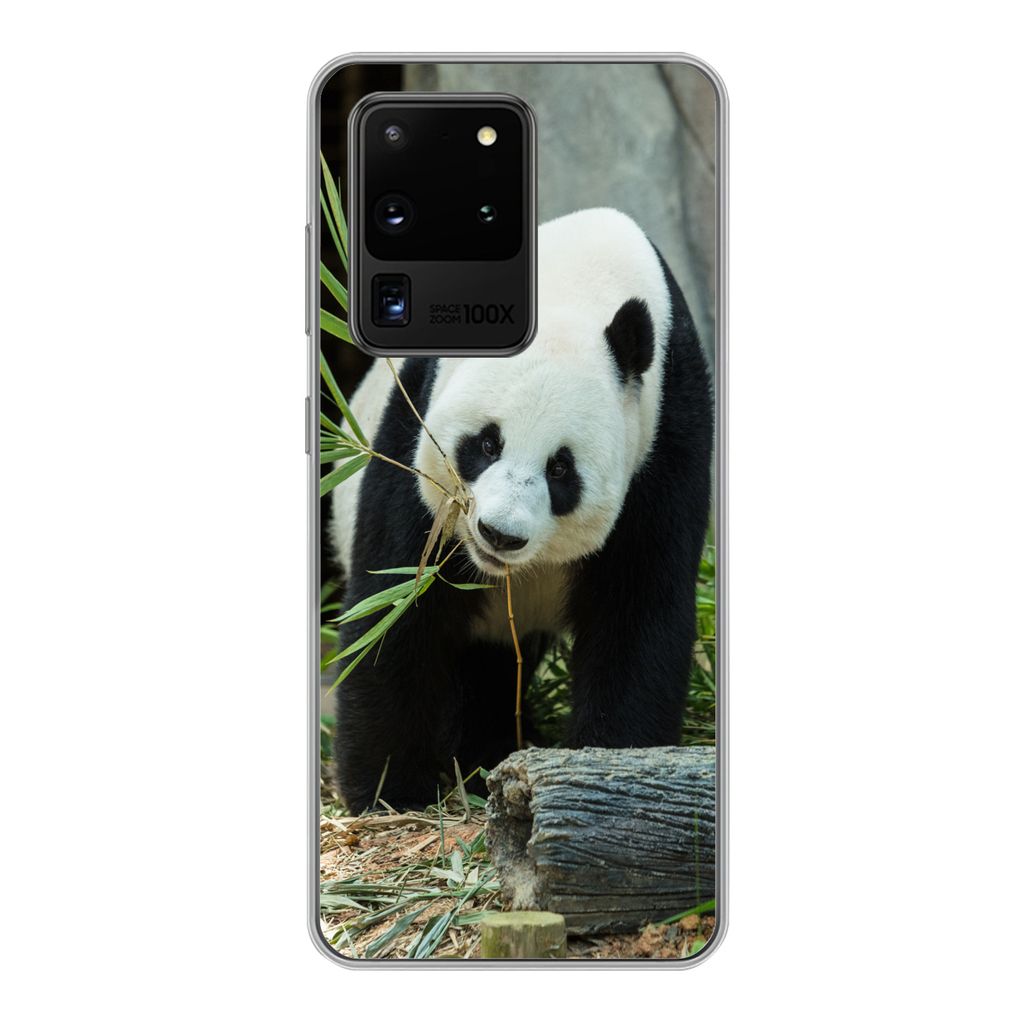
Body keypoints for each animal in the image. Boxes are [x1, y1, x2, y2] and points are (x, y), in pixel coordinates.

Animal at [330, 208, 713, 813]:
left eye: (561, 469)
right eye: (487, 443)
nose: (499, 534)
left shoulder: (667, 436)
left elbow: (637, 613)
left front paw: (611, 765)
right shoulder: (413, 427)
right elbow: (396, 605)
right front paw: (391, 791)